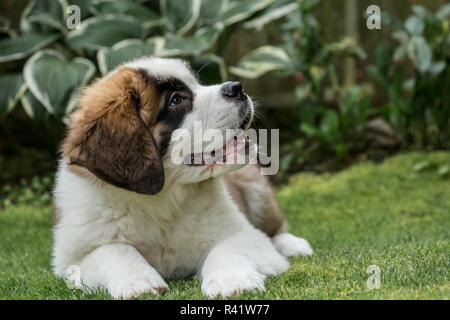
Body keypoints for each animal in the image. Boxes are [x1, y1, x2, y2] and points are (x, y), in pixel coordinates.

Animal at [51, 56, 312, 298]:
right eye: (177, 100)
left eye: (197, 83)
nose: (237, 88)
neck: (162, 202)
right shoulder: (72, 260)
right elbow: (114, 250)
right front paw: (139, 282)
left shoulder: (244, 233)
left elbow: (228, 248)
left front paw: (232, 280)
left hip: (255, 188)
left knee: (274, 227)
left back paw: (293, 244)